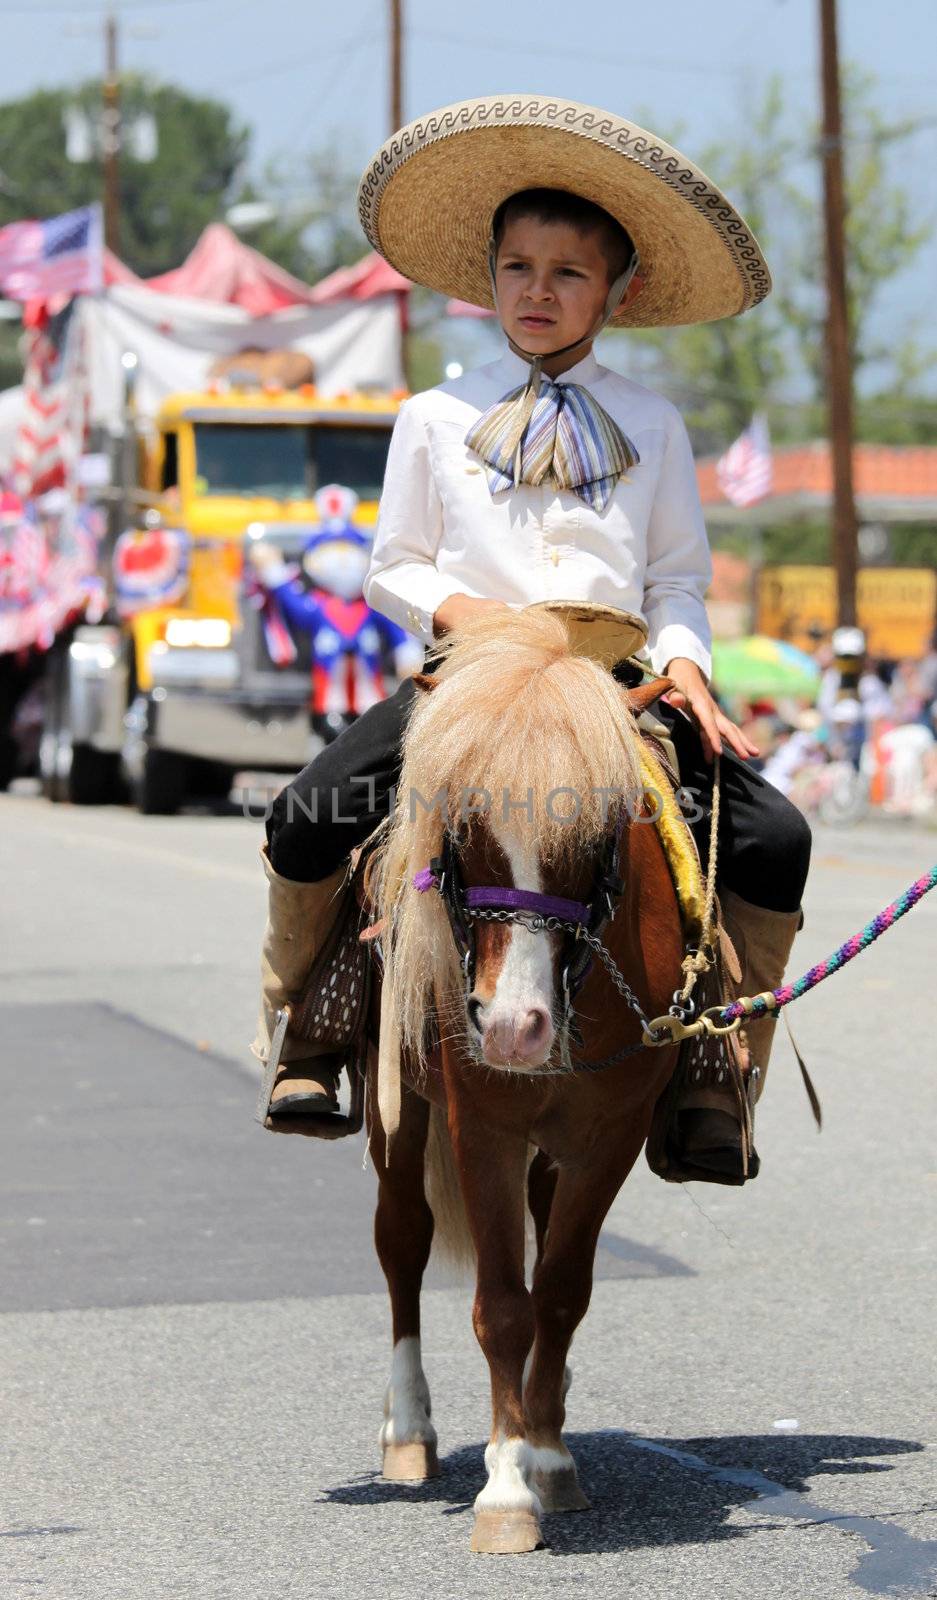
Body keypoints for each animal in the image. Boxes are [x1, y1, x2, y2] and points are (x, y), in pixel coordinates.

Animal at [367, 608, 681, 1548]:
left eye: (598, 834)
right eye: (463, 827)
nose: (510, 1028)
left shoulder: (608, 1135)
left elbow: (561, 1292)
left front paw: (544, 1455)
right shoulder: (484, 1128)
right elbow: (502, 1305)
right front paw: (505, 1491)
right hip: (399, 1119)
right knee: (401, 1241)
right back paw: (408, 1430)